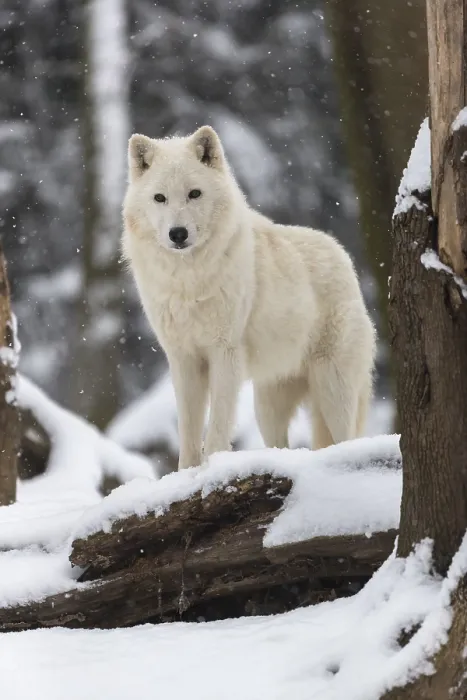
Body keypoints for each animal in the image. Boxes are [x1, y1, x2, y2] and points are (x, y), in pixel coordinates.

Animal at [122, 125, 376, 470]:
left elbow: (218, 425)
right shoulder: (183, 359)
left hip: (333, 390)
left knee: (347, 438)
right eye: (159, 198)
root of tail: (343, 257)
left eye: (194, 193)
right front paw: (185, 473)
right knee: (280, 444)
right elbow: (187, 429)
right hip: (267, 406)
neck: (189, 280)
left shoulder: (224, 353)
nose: (178, 234)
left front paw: (213, 467)